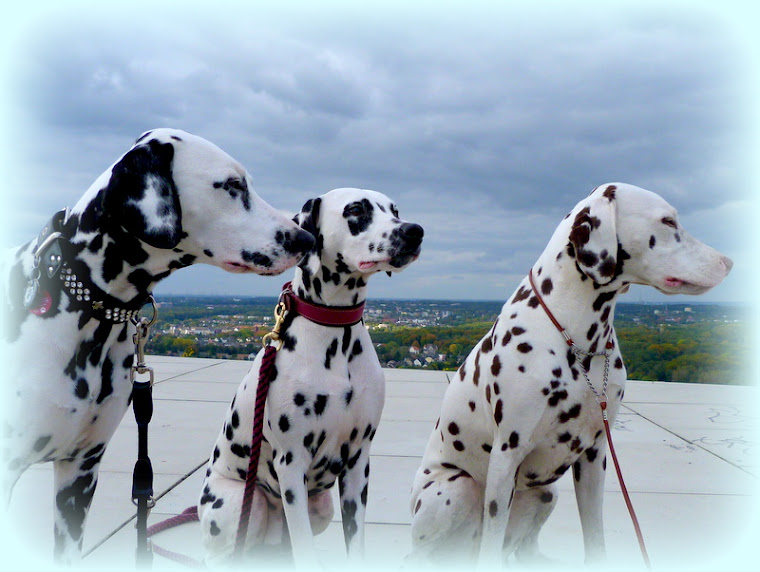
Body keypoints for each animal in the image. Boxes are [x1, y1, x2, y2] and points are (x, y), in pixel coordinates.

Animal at [199, 189, 424, 568]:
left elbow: (355, 541)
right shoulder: (292, 463)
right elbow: (303, 546)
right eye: (356, 209)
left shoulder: (357, 462)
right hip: (244, 504)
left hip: (322, 507)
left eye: (395, 210)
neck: (335, 333)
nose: (414, 231)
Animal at [406, 184, 732, 568]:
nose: (728, 262)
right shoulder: (506, 455)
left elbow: (595, 534)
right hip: (457, 489)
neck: (578, 340)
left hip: (546, 493)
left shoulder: (594, 453)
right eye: (668, 221)